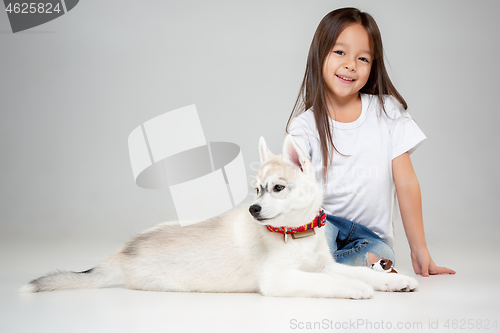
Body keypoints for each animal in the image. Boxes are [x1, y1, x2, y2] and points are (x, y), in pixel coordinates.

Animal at [20, 135, 418, 298]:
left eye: (277, 188)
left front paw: (393, 281)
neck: (296, 235)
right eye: (256, 190)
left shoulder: (323, 265)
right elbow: (332, 282)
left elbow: (356, 271)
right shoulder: (279, 280)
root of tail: (123, 251)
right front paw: (356, 289)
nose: (253, 209)